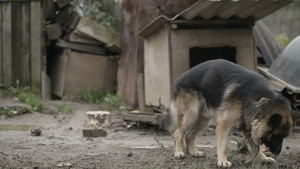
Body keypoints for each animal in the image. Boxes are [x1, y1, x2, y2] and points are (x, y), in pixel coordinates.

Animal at [161, 58, 298, 167]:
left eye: (284, 136)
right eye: (277, 135)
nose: (278, 153)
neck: (258, 101)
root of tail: (180, 78)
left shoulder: (249, 128)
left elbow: (255, 147)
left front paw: (263, 159)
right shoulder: (224, 124)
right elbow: (224, 145)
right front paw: (222, 161)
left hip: (203, 120)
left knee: (189, 135)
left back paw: (194, 152)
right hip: (191, 114)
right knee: (178, 132)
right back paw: (178, 152)